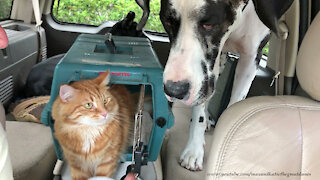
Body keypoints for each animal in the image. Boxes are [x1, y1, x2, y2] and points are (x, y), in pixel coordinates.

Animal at [135, 0, 292, 170]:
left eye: (209, 24)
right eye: (168, 21)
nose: (174, 90)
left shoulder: (251, 58)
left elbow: (235, 104)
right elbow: (200, 109)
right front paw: (194, 149)